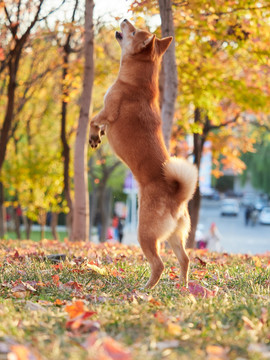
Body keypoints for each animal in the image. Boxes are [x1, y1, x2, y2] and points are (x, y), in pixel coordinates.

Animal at [89, 20, 197, 290]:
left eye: (134, 31)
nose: (126, 20)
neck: (137, 81)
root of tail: (177, 195)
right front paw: (100, 135)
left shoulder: (107, 110)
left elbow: (94, 121)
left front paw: (95, 136)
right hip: (175, 236)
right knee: (185, 259)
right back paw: (182, 287)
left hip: (145, 233)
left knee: (158, 264)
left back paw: (145, 289)